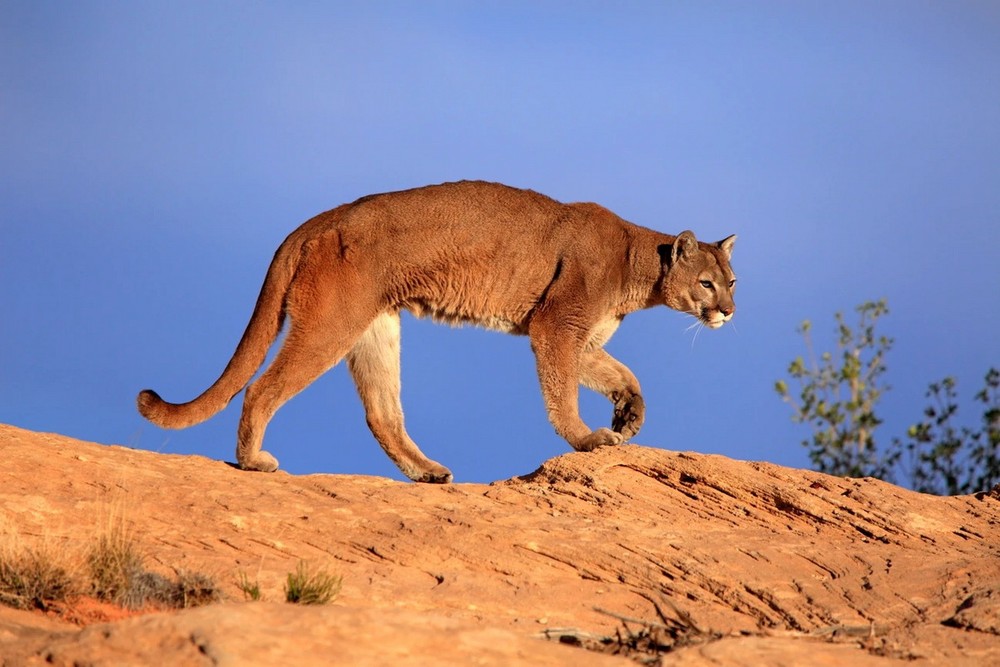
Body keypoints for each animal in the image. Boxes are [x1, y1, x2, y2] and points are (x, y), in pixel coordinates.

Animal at [137, 183, 736, 482]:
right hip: (331, 322)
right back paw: (254, 462)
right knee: (261, 389)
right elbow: (561, 393)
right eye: (706, 284)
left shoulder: (581, 339)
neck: (639, 263)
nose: (729, 312)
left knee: (382, 412)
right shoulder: (555, 325)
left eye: (731, 281)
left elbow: (622, 373)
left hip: (375, 328)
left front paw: (629, 415)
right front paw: (587, 437)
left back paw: (427, 472)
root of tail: (317, 219)